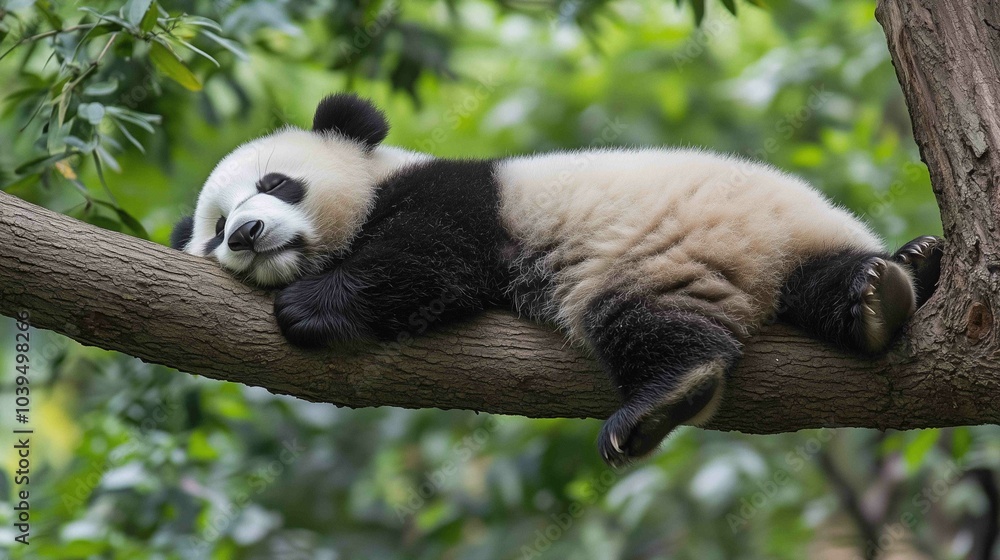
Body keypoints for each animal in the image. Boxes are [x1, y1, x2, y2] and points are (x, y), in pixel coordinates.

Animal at [171, 93, 944, 467]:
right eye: (214, 228)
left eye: (276, 183)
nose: (244, 234)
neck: (376, 180)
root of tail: (770, 251)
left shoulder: (462, 198)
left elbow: (426, 262)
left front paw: (308, 306)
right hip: (796, 246)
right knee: (824, 283)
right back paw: (888, 288)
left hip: (657, 254)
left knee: (641, 320)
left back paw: (658, 401)